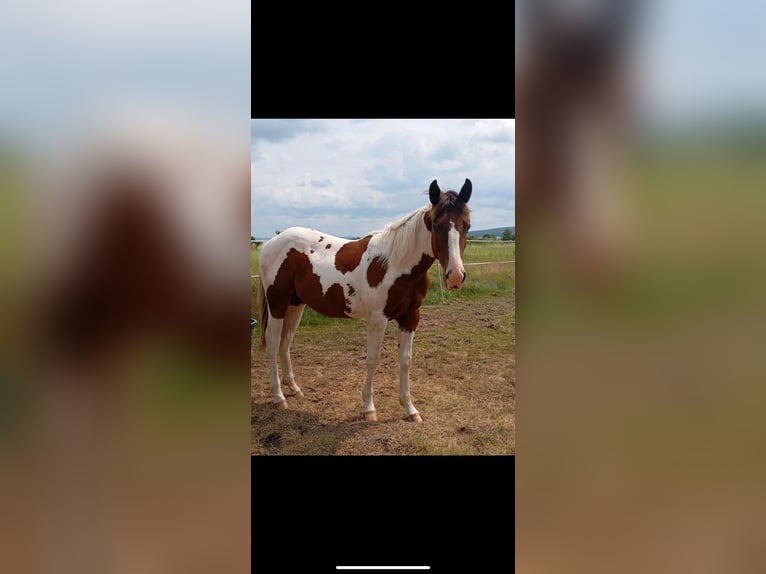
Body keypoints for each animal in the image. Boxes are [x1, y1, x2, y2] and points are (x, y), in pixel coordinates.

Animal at [257, 178, 473, 422]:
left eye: (467, 225)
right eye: (436, 225)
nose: (455, 276)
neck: (396, 264)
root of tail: (269, 244)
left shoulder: (410, 317)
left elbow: (406, 360)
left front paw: (410, 409)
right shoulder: (378, 319)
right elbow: (372, 359)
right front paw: (369, 408)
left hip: (295, 305)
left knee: (286, 342)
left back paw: (294, 388)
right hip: (277, 304)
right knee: (273, 342)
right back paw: (278, 396)